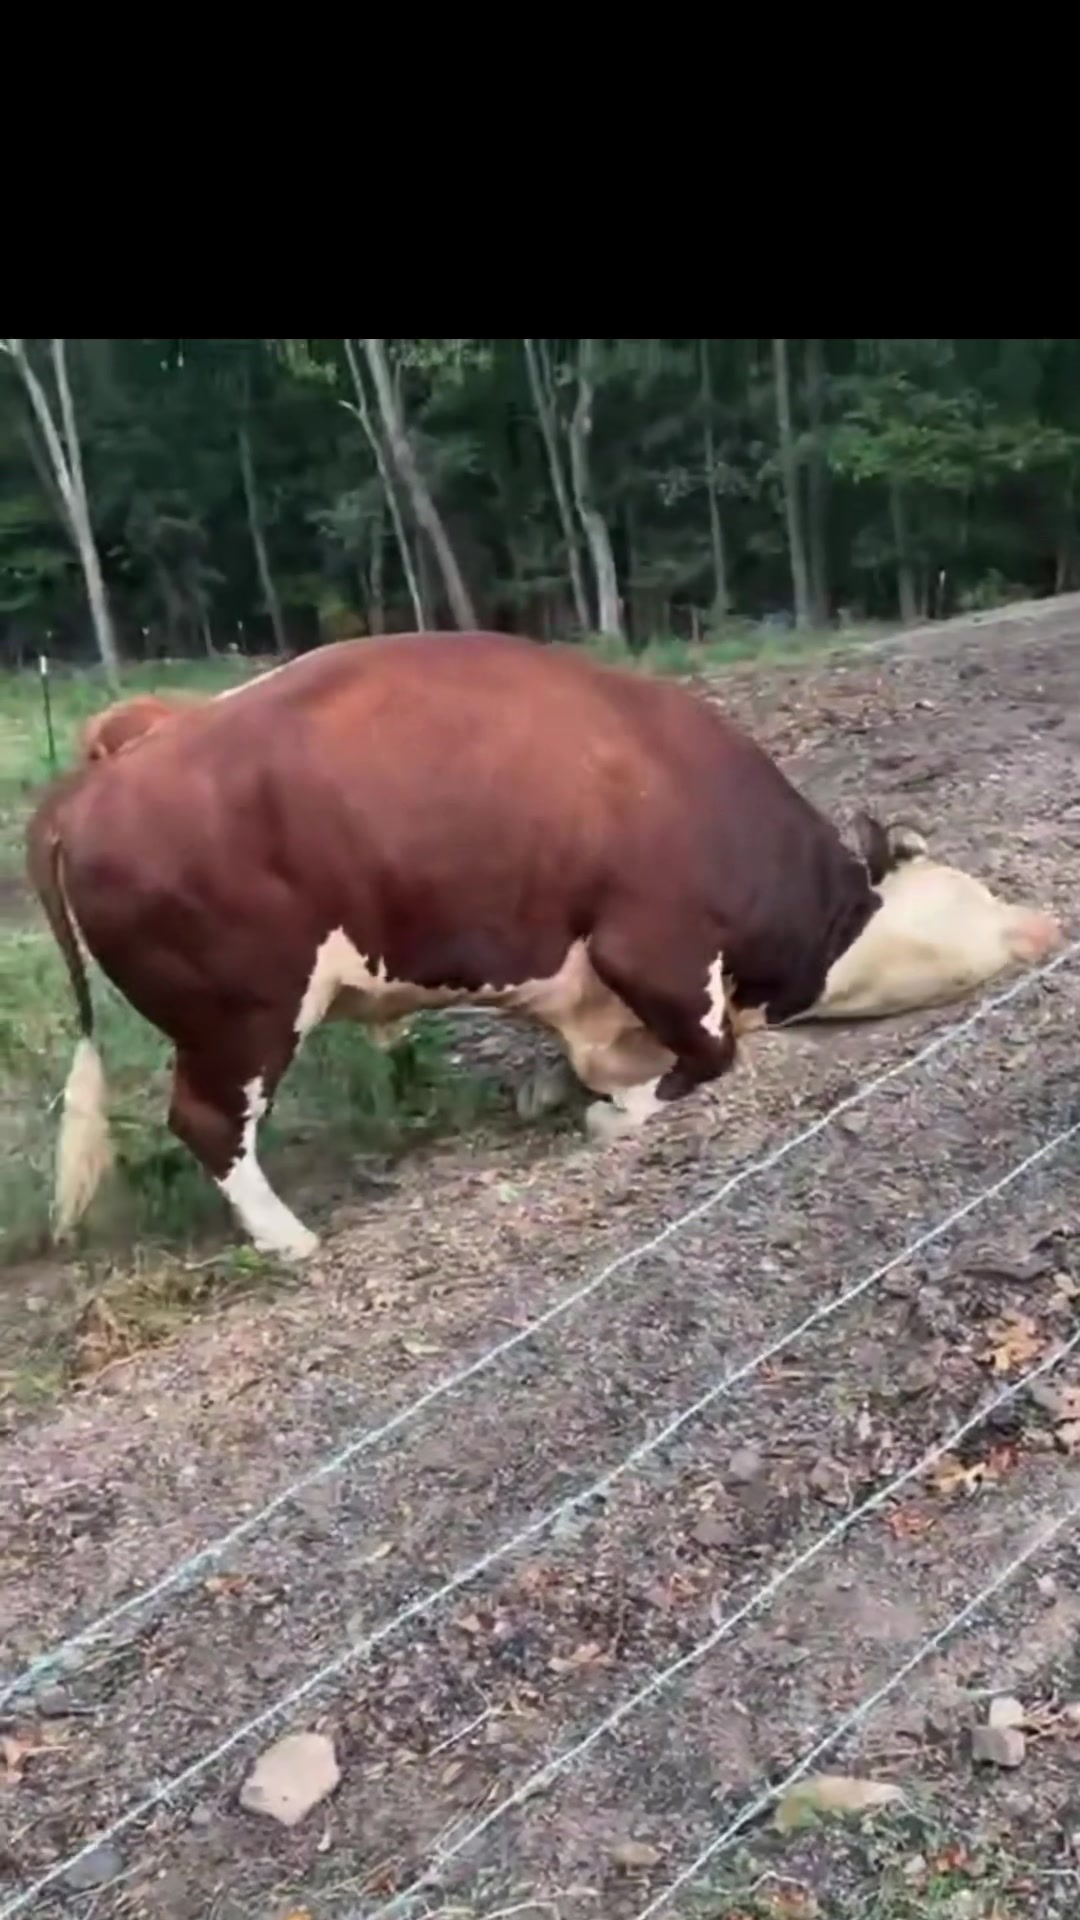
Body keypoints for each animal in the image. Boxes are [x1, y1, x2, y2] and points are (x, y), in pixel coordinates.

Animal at [26, 630, 1062, 1263]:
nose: (1050, 923)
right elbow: (705, 1059)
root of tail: (96, 777)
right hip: (243, 1011)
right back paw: (288, 1238)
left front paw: (562, 1090)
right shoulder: (653, 948)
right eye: (980, 896)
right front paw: (618, 1111)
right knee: (208, 1121)